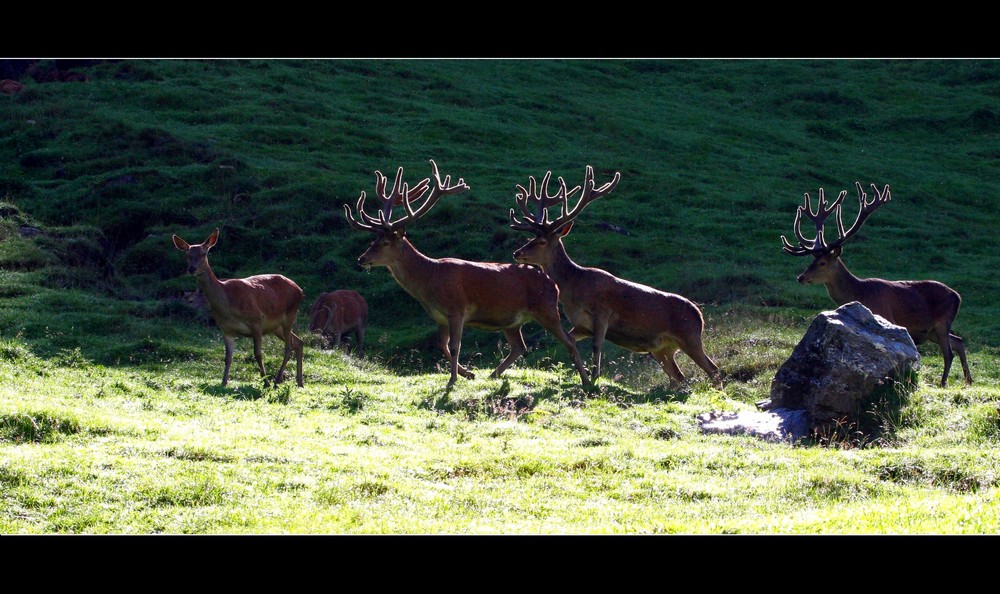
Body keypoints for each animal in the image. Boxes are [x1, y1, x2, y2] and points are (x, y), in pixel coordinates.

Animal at [172, 228, 304, 388]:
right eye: (187, 254)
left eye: (203, 253)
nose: (191, 269)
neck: (228, 306)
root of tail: (299, 289)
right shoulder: (226, 330)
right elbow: (228, 357)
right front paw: (223, 383)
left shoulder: (257, 320)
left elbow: (258, 353)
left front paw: (265, 382)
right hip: (275, 326)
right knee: (298, 342)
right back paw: (300, 382)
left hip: (290, 314)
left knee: (288, 347)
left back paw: (277, 380)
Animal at [346, 158, 592, 388]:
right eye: (373, 239)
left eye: (385, 242)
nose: (362, 259)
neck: (429, 280)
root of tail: (553, 284)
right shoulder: (439, 316)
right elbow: (441, 345)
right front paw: (469, 374)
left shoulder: (456, 309)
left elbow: (455, 346)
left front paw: (452, 380)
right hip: (512, 321)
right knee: (519, 346)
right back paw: (493, 374)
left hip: (547, 309)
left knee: (569, 340)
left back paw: (587, 380)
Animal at [512, 164, 724, 386]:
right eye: (529, 238)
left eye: (542, 241)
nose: (517, 253)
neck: (573, 288)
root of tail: (700, 315)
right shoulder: (581, 325)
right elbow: (568, 341)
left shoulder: (602, 312)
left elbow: (597, 346)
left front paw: (595, 379)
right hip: (662, 349)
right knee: (679, 376)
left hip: (690, 336)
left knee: (714, 370)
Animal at [776, 180, 972, 386]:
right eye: (812, 260)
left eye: (822, 262)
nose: (801, 277)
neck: (860, 292)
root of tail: (958, 296)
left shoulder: (887, 316)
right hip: (932, 330)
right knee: (958, 341)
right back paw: (968, 380)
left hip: (943, 321)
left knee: (948, 352)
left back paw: (943, 383)